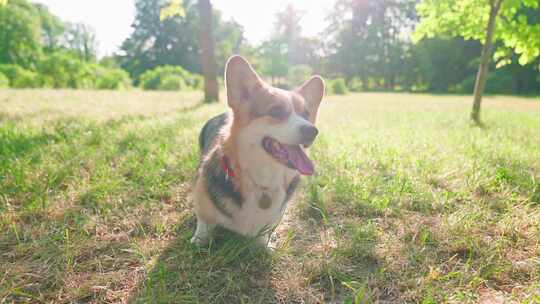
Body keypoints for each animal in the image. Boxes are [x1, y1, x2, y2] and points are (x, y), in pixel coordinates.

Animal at [191, 55, 322, 247]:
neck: (263, 181)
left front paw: (266, 247)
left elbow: (263, 236)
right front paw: (199, 240)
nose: (313, 131)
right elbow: (204, 223)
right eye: (276, 111)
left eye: (306, 114)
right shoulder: (203, 203)